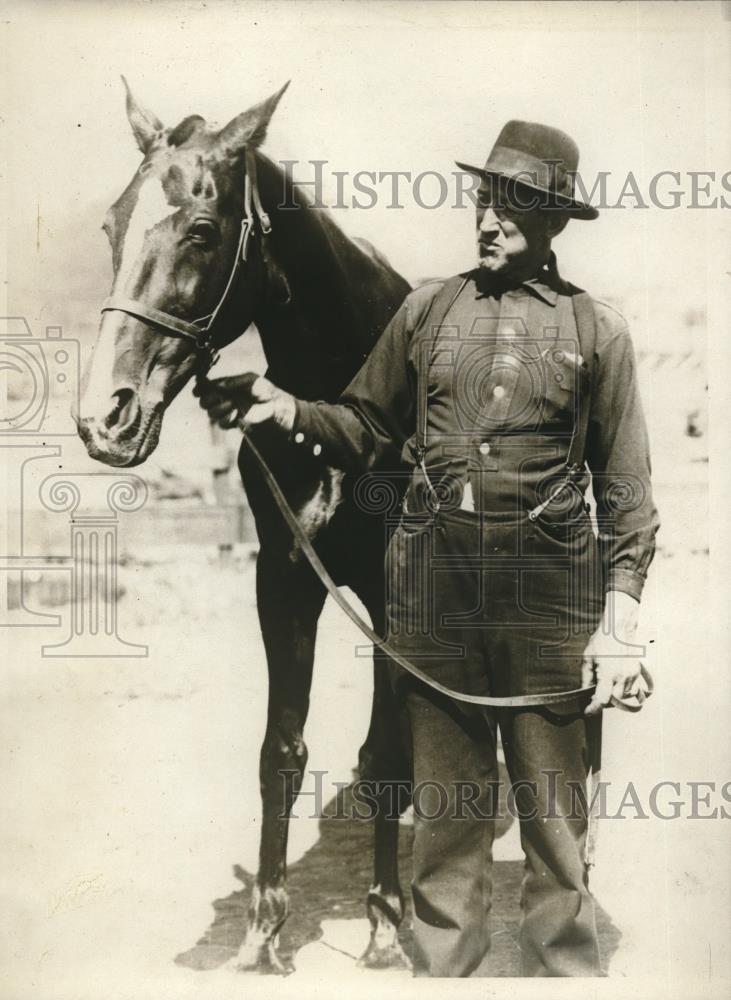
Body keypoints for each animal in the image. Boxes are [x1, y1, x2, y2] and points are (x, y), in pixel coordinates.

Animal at [78, 82, 418, 972]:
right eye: (111, 226)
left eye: (201, 229)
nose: (104, 418)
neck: (339, 410)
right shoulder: (286, 579)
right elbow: (281, 753)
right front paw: (262, 935)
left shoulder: (396, 595)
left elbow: (388, 757)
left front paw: (385, 924)